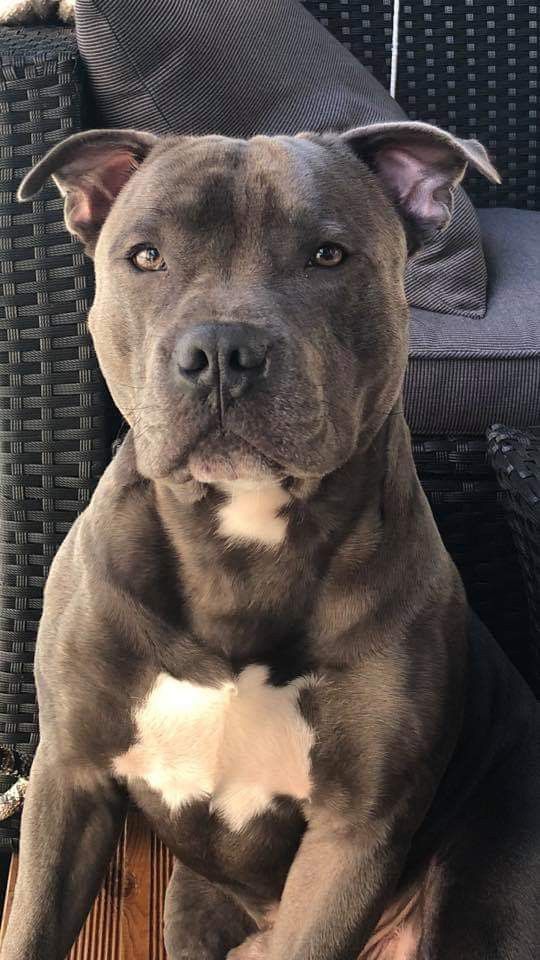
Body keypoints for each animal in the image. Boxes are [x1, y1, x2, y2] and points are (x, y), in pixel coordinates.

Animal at [1, 122, 540, 960]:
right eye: (145, 255)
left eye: (329, 255)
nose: (223, 350)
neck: (237, 549)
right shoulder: (69, 777)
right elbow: (29, 929)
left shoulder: (352, 838)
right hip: (189, 908)